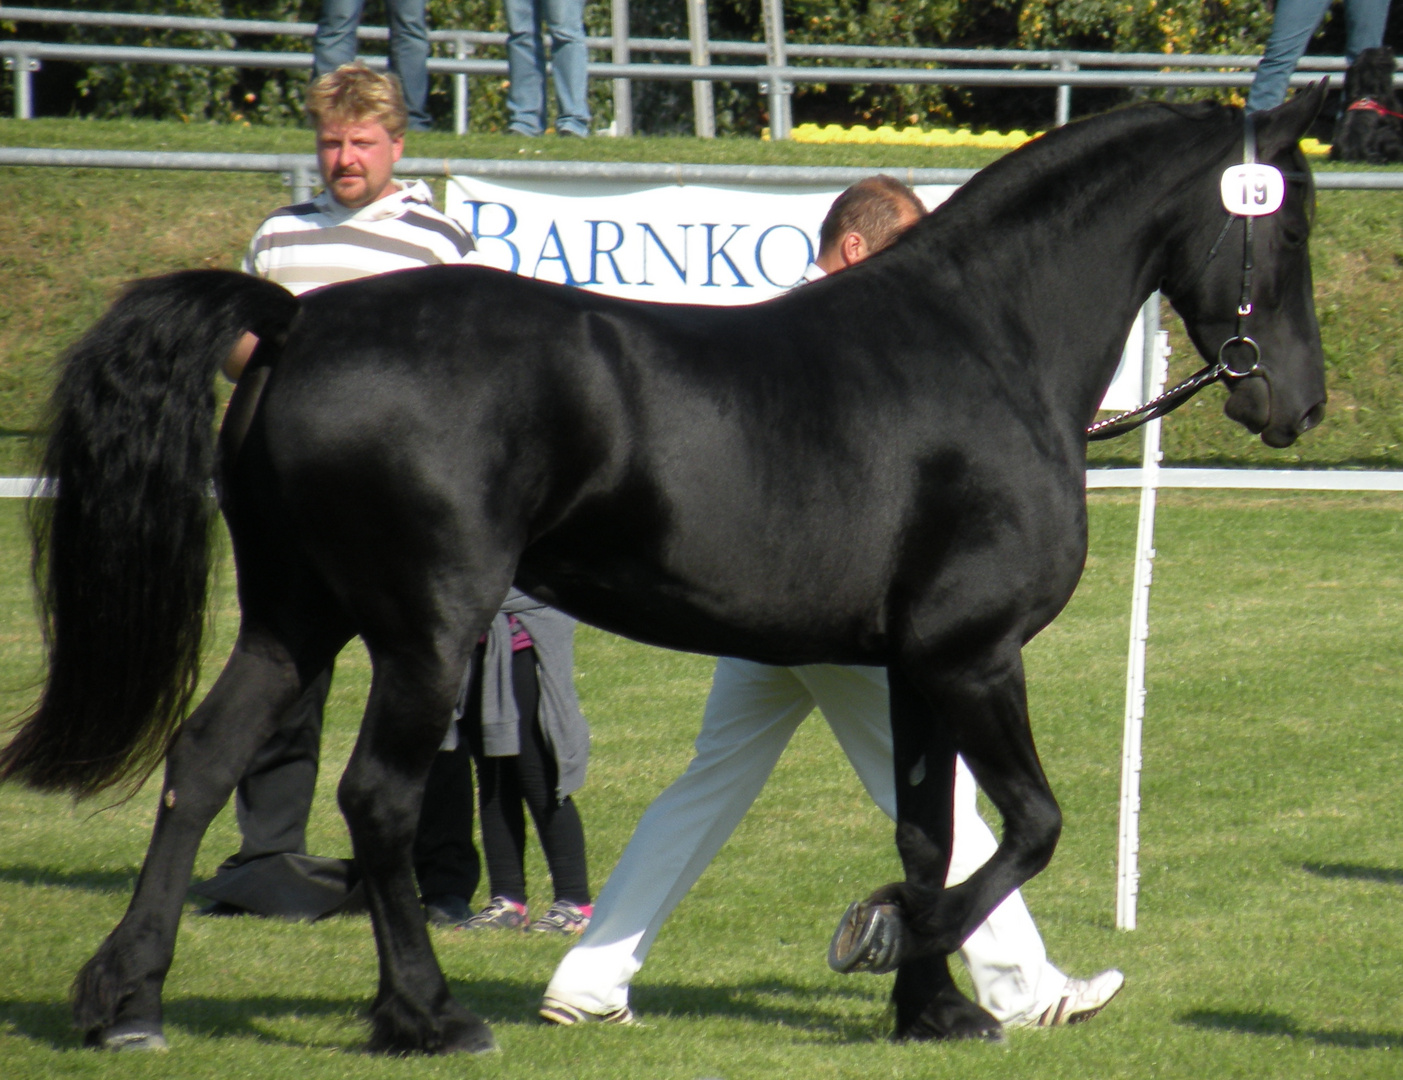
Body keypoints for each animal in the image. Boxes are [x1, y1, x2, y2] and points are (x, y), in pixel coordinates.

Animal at [2, 86, 1324, 1054]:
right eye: (1289, 227)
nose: (1294, 404)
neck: (984, 348)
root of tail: (298, 319)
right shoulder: (972, 656)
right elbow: (1029, 826)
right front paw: (882, 938)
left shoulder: (909, 669)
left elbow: (924, 829)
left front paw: (934, 1006)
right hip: (423, 631)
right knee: (373, 798)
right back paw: (428, 1015)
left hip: (294, 617)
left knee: (200, 763)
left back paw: (127, 1000)